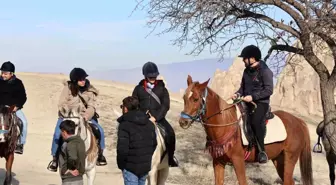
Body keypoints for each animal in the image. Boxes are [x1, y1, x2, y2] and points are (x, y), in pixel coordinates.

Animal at [180, 75, 314, 185]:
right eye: (184, 98)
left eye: (196, 99)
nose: (183, 122)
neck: (225, 125)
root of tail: (299, 122)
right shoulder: (218, 162)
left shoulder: (238, 161)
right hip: (278, 160)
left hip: (290, 158)